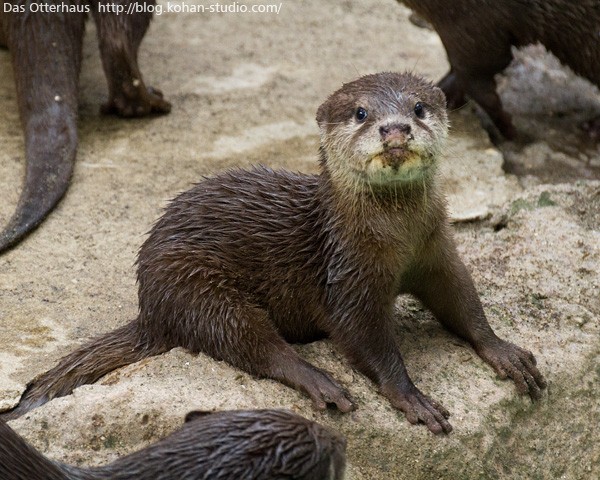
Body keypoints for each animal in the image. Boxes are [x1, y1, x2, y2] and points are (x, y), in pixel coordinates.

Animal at [0, 72, 548, 436]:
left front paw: (503, 351)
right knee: (253, 343)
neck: (398, 238)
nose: (394, 130)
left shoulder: (437, 251)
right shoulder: (349, 277)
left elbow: (463, 299)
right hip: (196, 284)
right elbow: (365, 340)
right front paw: (413, 398)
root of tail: (149, 306)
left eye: (418, 108)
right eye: (362, 113)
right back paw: (320, 381)